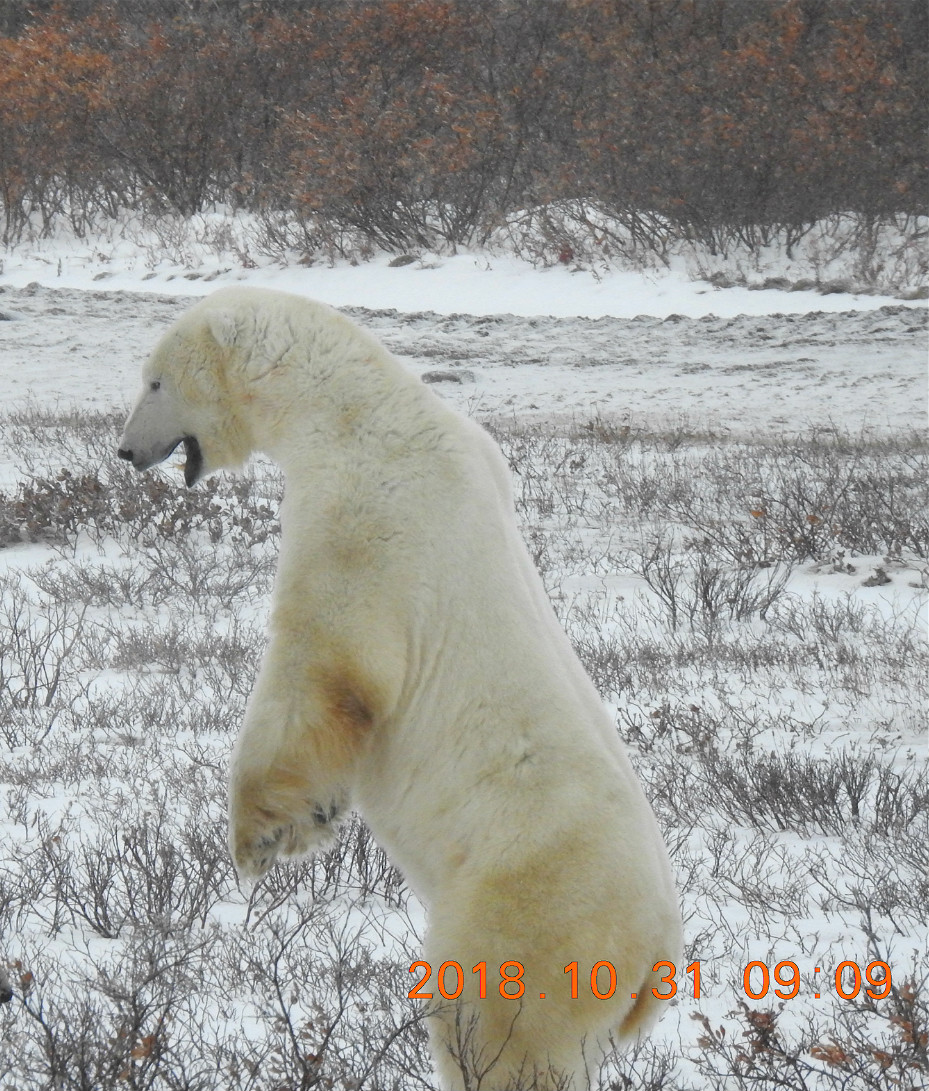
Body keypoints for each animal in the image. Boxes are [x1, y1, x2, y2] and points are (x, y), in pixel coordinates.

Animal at [117, 288, 680, 1091]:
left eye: (156, 380)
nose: (125, 450)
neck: (352, 408)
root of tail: (655, 959)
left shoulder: (366, 517)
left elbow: (325, 663)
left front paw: (264, 835)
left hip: (532, 908)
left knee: (495, 1025)